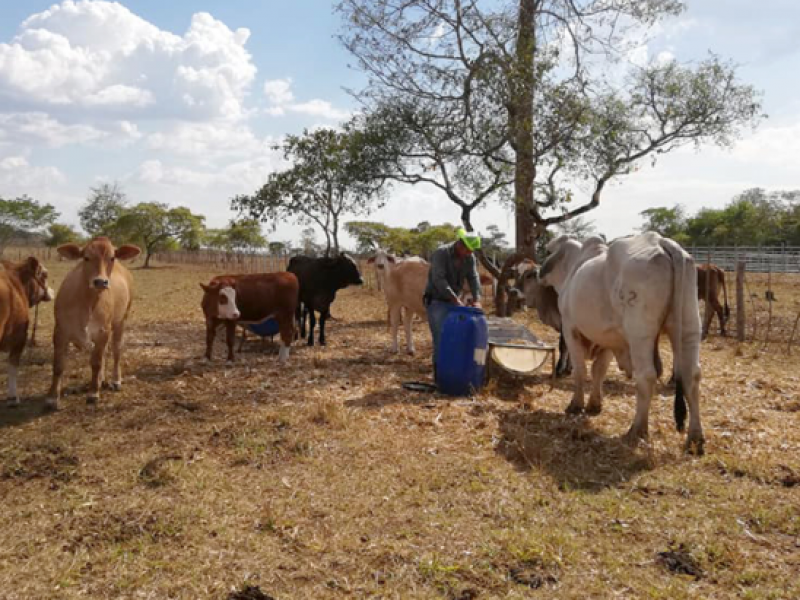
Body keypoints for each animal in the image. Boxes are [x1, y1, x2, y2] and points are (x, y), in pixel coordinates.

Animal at [47, 237, 141, 410]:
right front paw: (52, 398)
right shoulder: (60, 332)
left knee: (116, 350)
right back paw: (101, 379)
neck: (86, 303)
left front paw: (93, 393)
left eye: (112, 257)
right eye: (86, 257)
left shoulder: (103, 331)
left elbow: (96, 363)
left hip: (121, 320)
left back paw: (115, 380)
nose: (100, 282)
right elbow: (58, 365)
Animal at [540, 232, 704, 452]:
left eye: (548, 250)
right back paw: (695, 438)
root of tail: (663, 243)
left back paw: (637, 430)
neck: (574, 266)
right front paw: (594, 404)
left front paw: (576, 404)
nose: (539, 273)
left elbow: (581, 370)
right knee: (691, 375)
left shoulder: (569, 328)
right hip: (689, 328)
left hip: (640, 334)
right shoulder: (610, 339)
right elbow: (598, 370)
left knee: (647, 376)